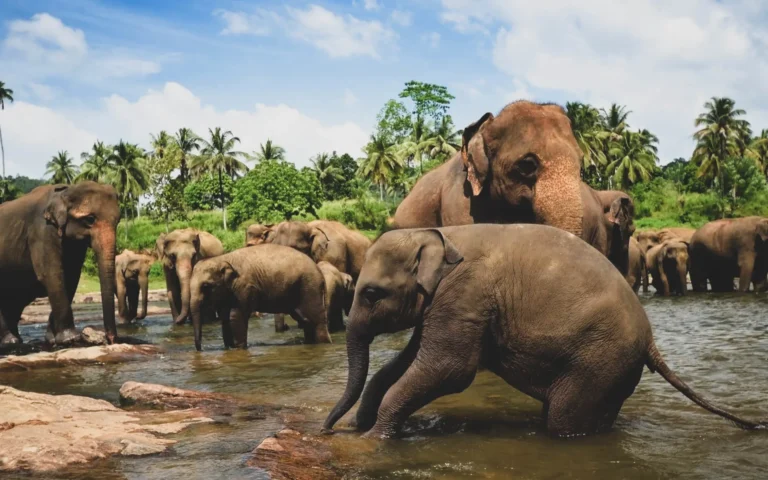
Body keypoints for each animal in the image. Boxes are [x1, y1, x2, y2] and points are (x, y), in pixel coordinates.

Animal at [0, 182, 120, 345]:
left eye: (118, 221)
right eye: (90, 219)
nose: (111, 339)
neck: (66, 191)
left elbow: (71, 278)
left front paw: (52, 339)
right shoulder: (42, 231)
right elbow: (52, 276)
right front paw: (70, 339)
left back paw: (16, 339)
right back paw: (10, 340)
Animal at [189, 244, 330, 350]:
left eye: (206, 286)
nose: (201, 349)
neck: (223, 258)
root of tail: (320, 272)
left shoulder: (244, 287)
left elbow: (236, 316)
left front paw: (239, 348)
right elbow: (225, 319)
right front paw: (229, 348)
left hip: (310, 287)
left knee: (316, 320)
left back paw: (323, 344)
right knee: (305, 320)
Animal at [322, 224, 767, 439]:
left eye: (372, 294)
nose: (326, 429)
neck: (439, 232)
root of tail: (651, 342)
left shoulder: (465, 293)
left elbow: (449, 369)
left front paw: (373, 438)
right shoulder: (447, 303)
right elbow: (409, 361)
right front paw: (362, 426)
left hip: (600, 360)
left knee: (564, 422)